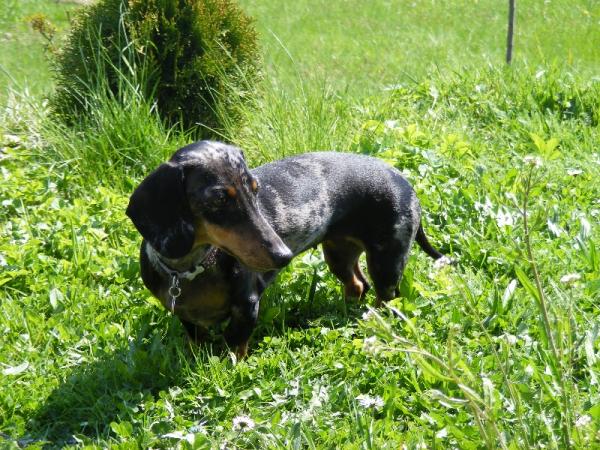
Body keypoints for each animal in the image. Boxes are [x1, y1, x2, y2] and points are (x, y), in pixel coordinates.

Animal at [126, 141, 444, 357]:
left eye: (255, 190)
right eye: (219, 199)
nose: (284, 256)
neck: (191, 269)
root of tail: (406, 183)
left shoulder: (247, 307)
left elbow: (234, 346)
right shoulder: (185, 316)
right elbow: (196, 342)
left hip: (386, 262)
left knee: (387, 298)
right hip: (338, 254)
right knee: (357, 284)